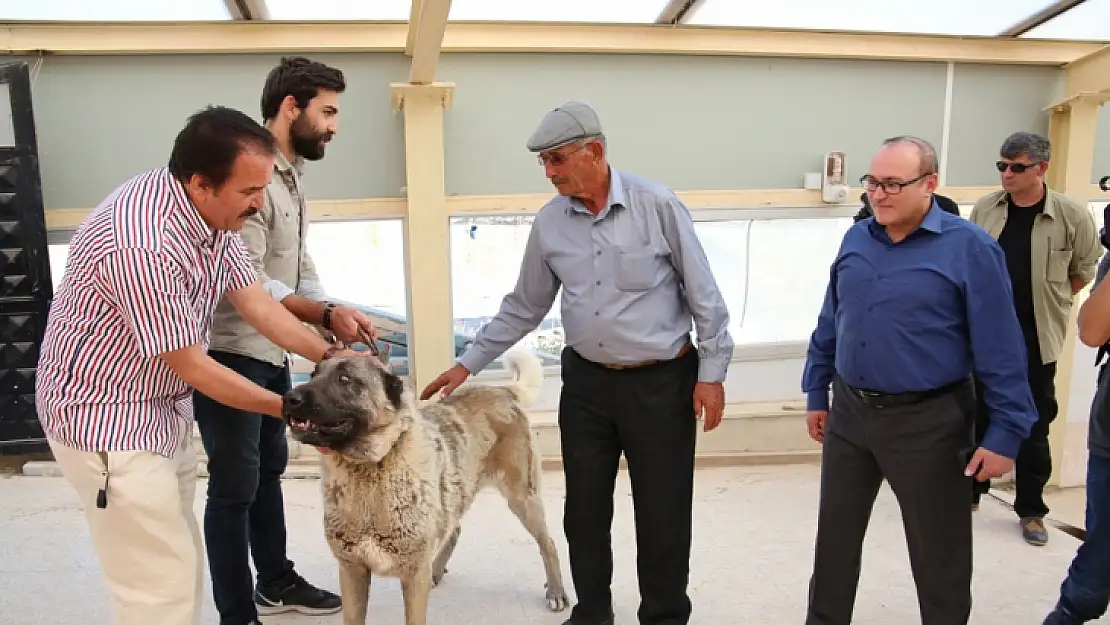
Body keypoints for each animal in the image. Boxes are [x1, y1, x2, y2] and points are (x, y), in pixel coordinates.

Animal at [281, 346, 568, 625]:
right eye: (313, 374)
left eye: (344, 379)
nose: (288, 397)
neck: (372, 466)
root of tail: (502, 390)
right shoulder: (352, 571)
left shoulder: (412, 575)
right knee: (455, 529)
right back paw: (436, 570)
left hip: (523, 497)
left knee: (549, 544)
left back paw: (556, 591)